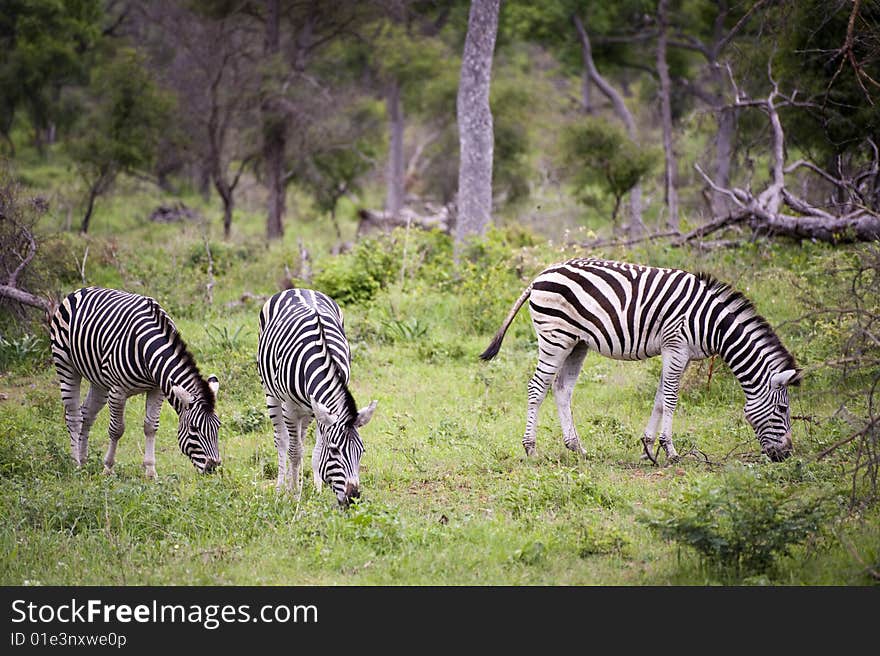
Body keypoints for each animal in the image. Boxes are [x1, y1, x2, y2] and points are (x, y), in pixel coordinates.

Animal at [49, 288, 222, 476]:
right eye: (194, 429)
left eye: (218, 427)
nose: (212, 467)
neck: (148, 350)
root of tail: (80, 290)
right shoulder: (118, 391)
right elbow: (116, 430)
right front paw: (108, 468)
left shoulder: (157, 389)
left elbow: (151, 427)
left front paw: (151, 471)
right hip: (65, 364)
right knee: (73, 416)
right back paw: (76, 464)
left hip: (99, 382)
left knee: (86, 414)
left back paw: (84, 459)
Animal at [256, 288, 376, 508]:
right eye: (335, 451)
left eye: (361, 451)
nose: (353, 498)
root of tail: (298, 289)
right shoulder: (289, 407)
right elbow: (294, 452)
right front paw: (293, 494)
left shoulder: (320, 408)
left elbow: (316, 450)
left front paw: (316, 490)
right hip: (271, 394)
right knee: (283, 441)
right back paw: (281, 488)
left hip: (308, 410)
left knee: (300, 439)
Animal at [482, 258, 804, 464]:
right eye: (783, 409)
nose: (786, 455)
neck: (713, 324)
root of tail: (540, 275)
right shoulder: (676, 346)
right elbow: (672, 398)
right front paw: (670, 451)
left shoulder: (678, 353)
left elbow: (661, 397)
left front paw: (649, 448)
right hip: (555, 337)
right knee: (537, 387)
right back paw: (531, 449)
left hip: (576, 343)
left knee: (562, 389)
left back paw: (577, 448)